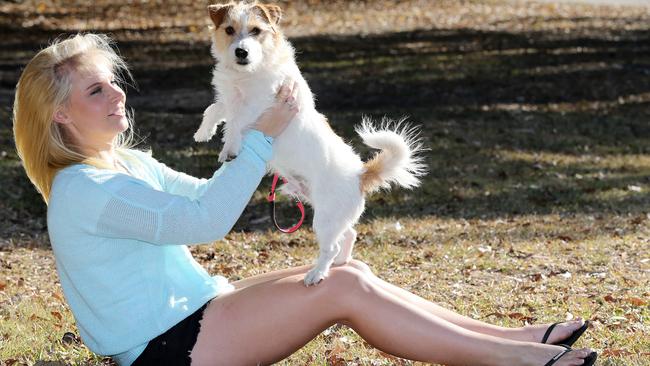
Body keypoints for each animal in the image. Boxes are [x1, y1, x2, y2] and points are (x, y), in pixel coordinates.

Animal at [192, 0, 426, 286]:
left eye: (256, 30)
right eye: (229, 29)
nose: (241, 52)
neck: (248, 74)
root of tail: (360, 175)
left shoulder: (258, 107)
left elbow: (235, 123)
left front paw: (229, 147)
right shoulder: (232, 99)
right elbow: (217, 108)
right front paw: (204, 131)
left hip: (325, 219)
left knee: (332, 246)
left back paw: (318, 273)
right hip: (330, 215)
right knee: (349, 235)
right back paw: (340, 262)